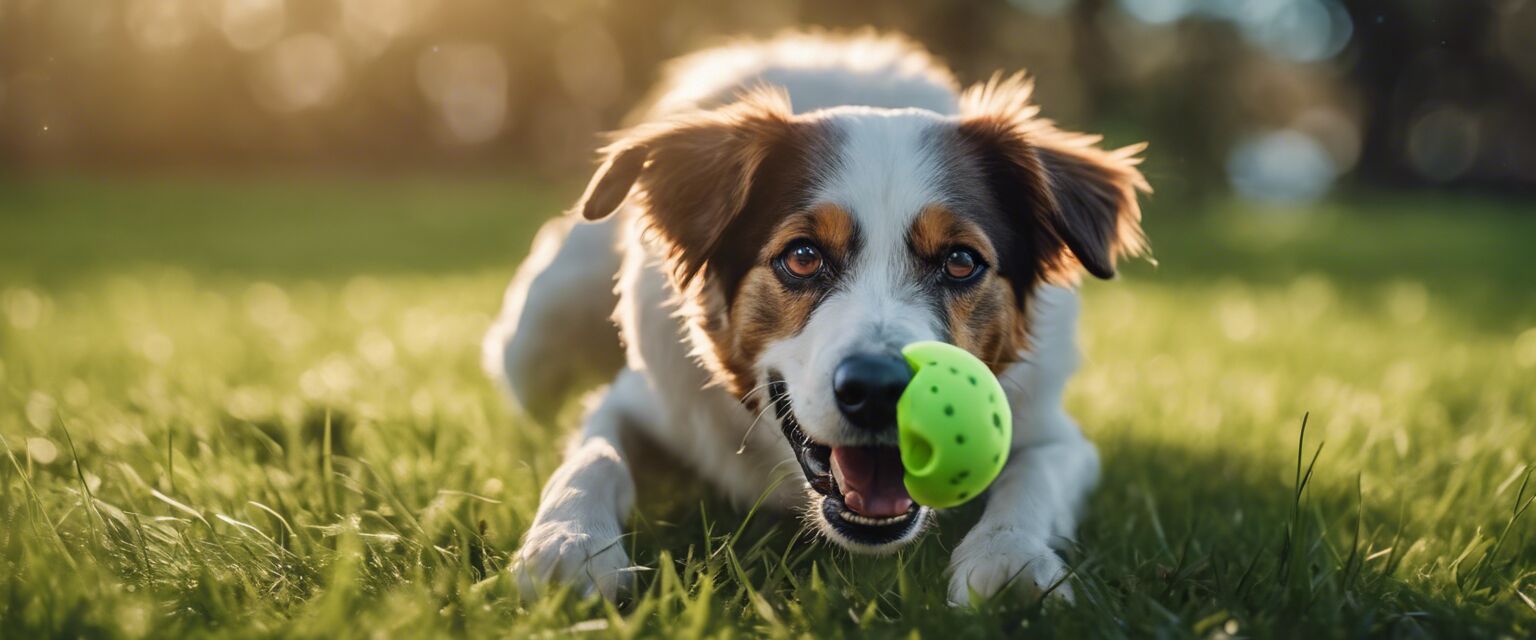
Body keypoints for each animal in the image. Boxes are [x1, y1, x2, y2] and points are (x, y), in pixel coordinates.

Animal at [485, 32, 1148, 604]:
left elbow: (1031, 479)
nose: (879, 391)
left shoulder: (1052, 432)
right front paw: (569, 546)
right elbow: (591, 460)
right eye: (802, 256)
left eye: (961, 261)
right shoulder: (637, 401)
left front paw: (1007, 558)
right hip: (537, 333)